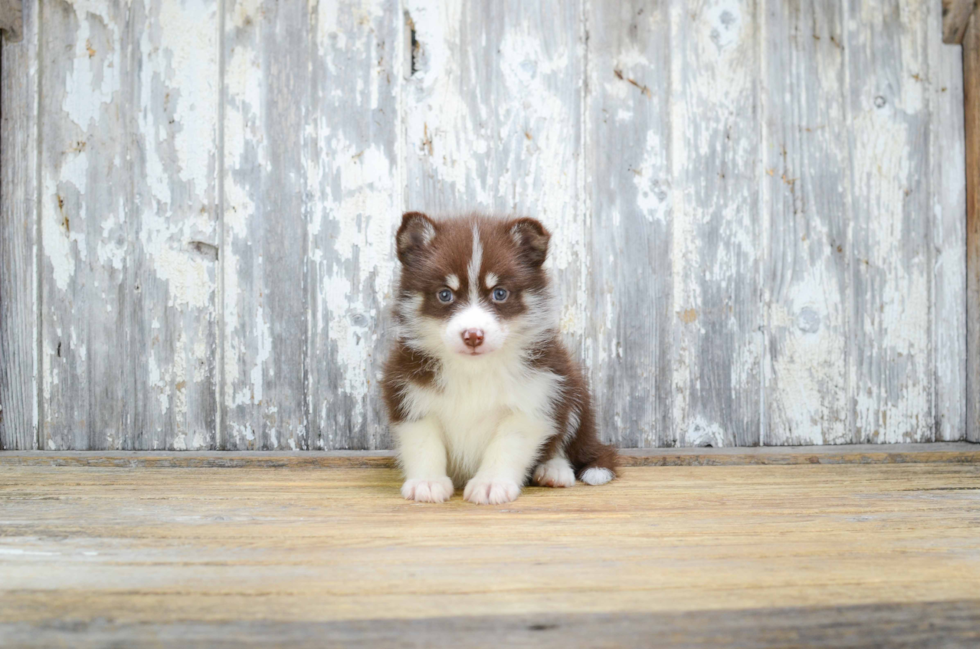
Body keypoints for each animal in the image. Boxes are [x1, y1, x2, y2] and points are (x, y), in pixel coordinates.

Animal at [380, 214, 616, 506]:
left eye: (500, 293)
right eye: (445, 294)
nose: (473, 335)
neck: (474, 370)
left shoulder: (535, 396)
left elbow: (506, 446)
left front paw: (491, 484)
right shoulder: (410, 394)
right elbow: (424, 443)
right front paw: (428, 482)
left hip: (574, 392)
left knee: (564, 441)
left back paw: (554, 469)